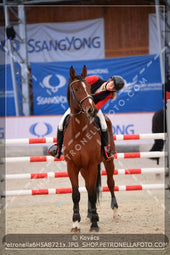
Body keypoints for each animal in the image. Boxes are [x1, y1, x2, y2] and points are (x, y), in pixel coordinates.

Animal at [62, 65, 118, 233]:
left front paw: (94, 225)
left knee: (110, 183)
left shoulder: (92, 165)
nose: (91, 110)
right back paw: (89, 215)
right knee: (87, 187)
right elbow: (76, 194)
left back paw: (115, 213)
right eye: (76, 88)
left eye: (88, 88)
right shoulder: (72, 166)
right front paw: (76, 223)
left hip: (108, 161)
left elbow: (93, 194)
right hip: (83, 168)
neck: (79, 132)